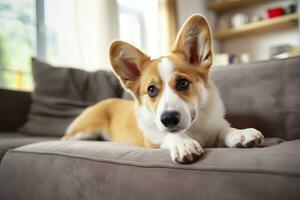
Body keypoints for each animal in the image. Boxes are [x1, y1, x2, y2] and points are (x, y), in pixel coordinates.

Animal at [62, 14, 264, 164]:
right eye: (151, 90)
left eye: (183, 83)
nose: (169, 119)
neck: (194, 128)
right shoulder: (152, 140)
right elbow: (168, 136)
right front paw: (183, 144)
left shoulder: (216, 126)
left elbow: (225, 130)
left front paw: (241, 133)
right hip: (84, 130)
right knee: (66, 139)